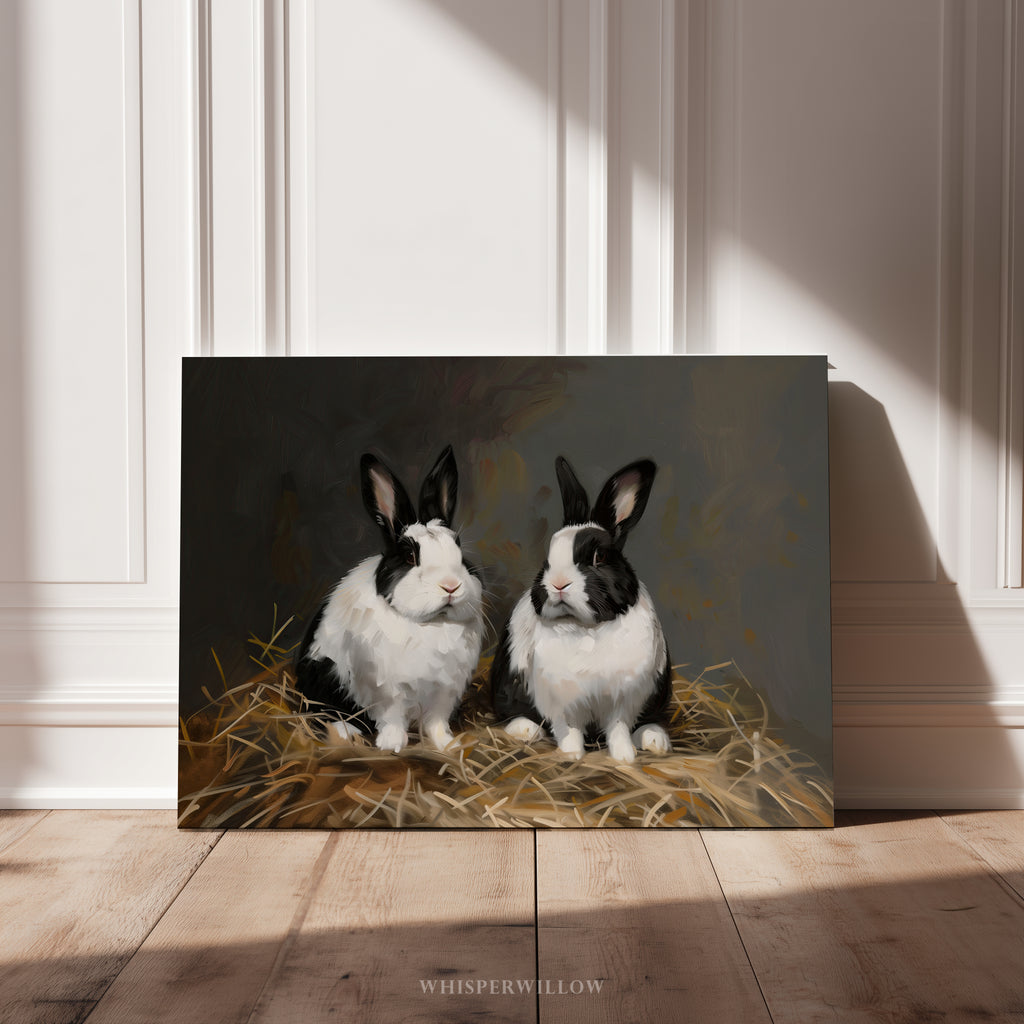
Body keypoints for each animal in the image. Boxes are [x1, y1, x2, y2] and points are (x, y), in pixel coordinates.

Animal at [294, 445, 484, 753]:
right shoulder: (386, 691)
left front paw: (448, 745)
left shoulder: (444, 691)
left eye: (459, 550)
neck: (430, 624)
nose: (450, 586)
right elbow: (392, 718)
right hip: (324, 675)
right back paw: (346, 734)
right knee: (324, 710)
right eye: (409, 556)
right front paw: (392, 746)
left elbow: (436, 722)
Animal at [491, 455, 672, 763]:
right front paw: (571, 755)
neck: (587, 628)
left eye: (599, 556)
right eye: (547, 559)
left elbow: (619, 729)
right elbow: (570, 729)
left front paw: (624, 758)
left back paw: (655, 740)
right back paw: (526, 731)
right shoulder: (562, 702)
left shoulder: (624, 700)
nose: (558, 584)